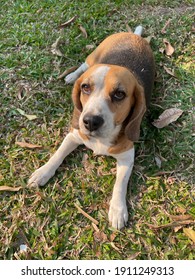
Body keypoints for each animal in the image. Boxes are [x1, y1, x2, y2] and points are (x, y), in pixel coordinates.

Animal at [28, 25, 155, 229]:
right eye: (85, 88)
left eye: (119, 94)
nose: (90, 121)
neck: (100, 140)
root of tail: (133, 35)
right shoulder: (73, 135)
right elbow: (57, 155)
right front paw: (43, 173)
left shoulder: (127, 157)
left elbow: (120, 183)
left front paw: (117, 210)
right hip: (93, 55)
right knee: (84, 64)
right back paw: (72, 75)